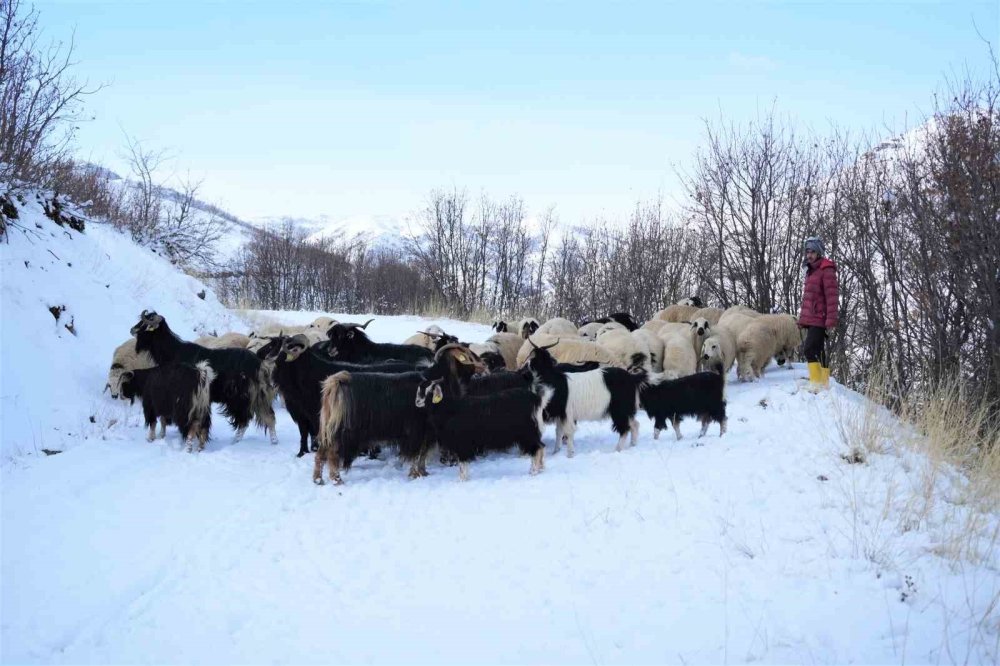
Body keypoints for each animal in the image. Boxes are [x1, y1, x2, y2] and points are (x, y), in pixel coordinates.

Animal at [130, 310, 278, 444]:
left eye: (146, 323)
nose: (132, 330)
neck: (173, 352)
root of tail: (259, 363)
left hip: (240, 398)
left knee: (244, 420)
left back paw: (235, 441)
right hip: (258, 396)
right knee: (269, 416)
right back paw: (274, 441)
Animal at [418, 374, 552, 478]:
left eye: (430, 391)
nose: (418, 402)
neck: (448, 408)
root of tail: (537, 399)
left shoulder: (462, 443)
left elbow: (462, 464)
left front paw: (461, 480)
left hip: (527, 434)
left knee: (537, 449)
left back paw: (533, 472)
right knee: (541, 447)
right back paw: (539, 469)